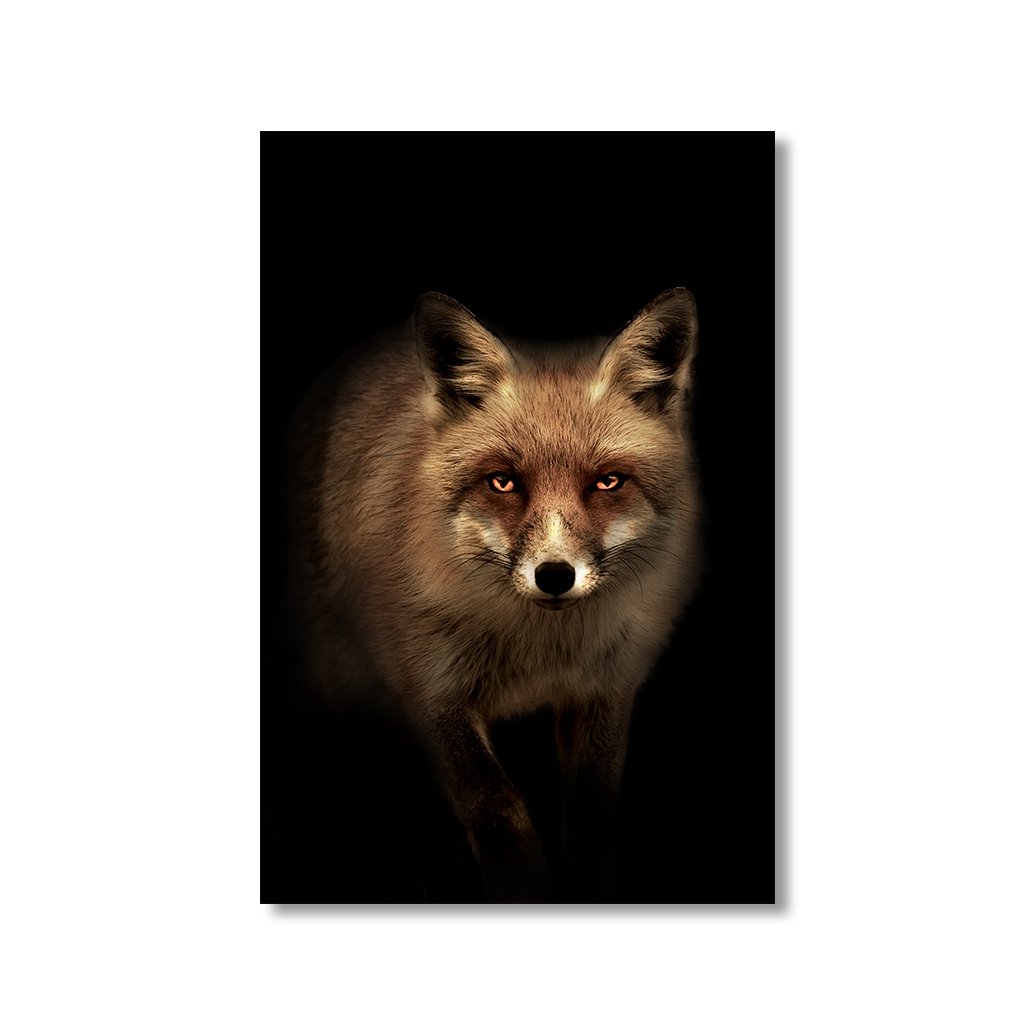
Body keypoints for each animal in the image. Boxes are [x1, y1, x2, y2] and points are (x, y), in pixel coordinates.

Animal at [285, 287, 702, 902]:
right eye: (503, 481)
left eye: (607, 482)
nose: (555, 575)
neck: (538, 653)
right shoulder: (431, 690)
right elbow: (500, 815)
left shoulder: (607, 687)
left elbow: (591, 821)